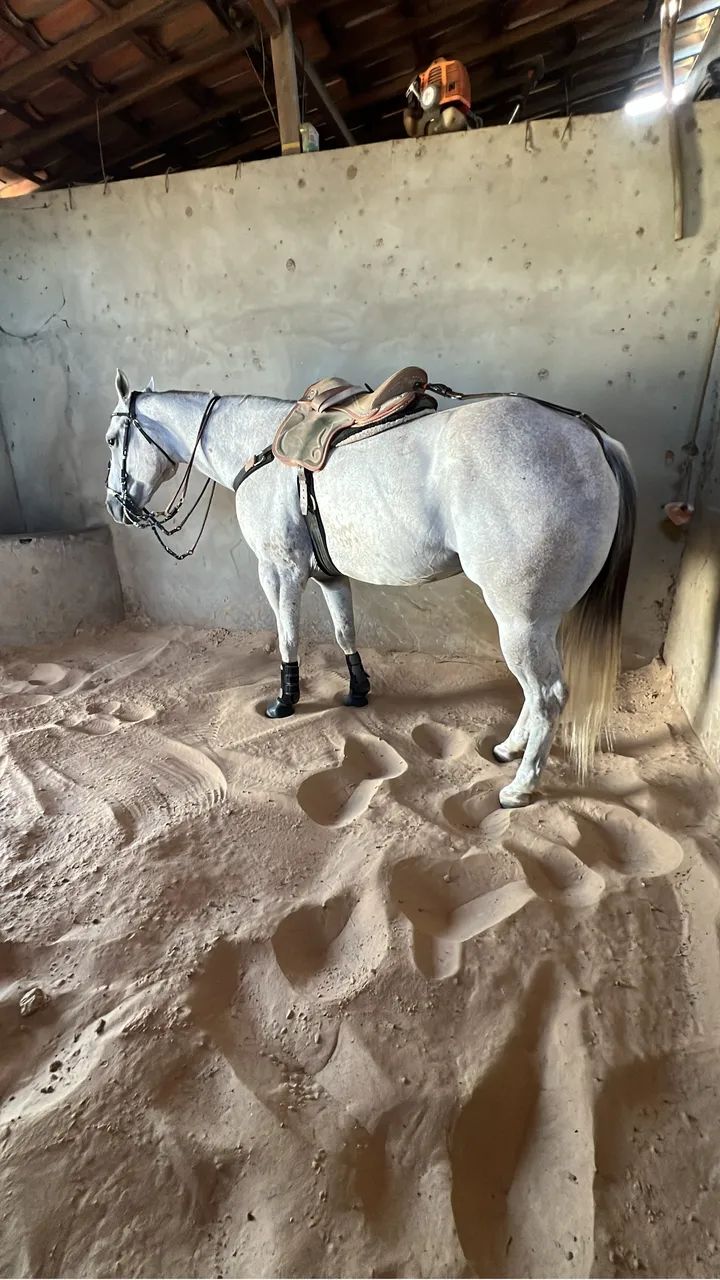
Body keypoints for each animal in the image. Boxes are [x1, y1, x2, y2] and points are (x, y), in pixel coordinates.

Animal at [105, 368, 636, 809]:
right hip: (540, 620)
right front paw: (357, 691)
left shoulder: (280, 571)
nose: (115, 506)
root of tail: (590, 437)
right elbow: (345, 632)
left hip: (520, 618)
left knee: (546, 694)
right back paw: (509, 749)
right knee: (535, 693)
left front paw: (285, 700)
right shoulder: (330, 575)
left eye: (112, 439)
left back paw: (520, 787)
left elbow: (288, 636)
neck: (261, 451)